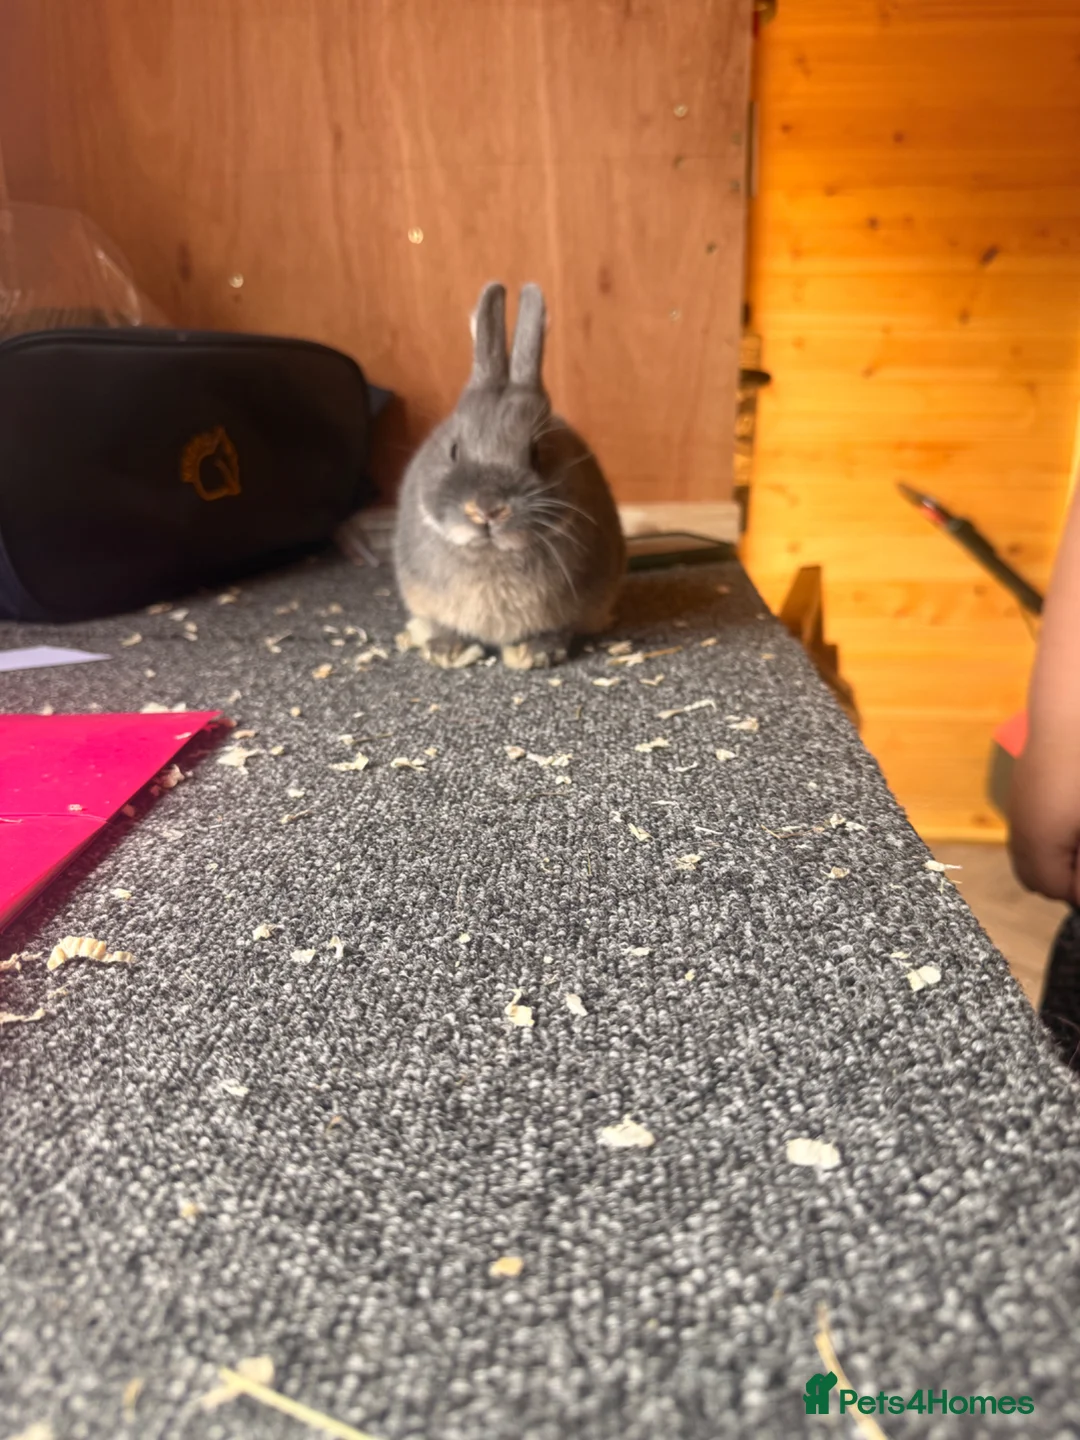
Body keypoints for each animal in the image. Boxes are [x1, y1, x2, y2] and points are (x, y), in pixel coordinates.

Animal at [393, 281, 625, 670]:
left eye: (537, 453)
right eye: (453, 449)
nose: (487, 510)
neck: (491, 554)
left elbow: (559, 629)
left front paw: (535, 653)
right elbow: (442, 624)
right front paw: (445, 650)